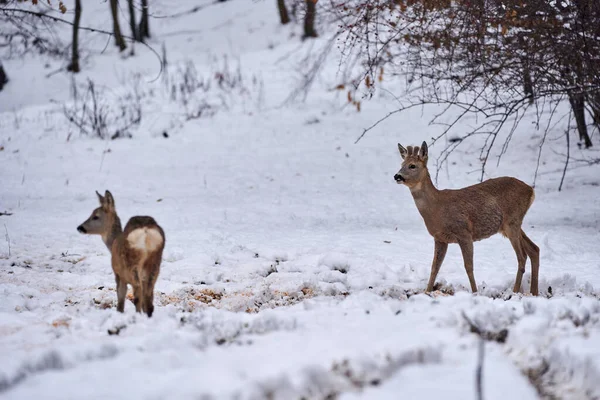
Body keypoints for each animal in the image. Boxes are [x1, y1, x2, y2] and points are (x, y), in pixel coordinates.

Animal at [394, 142, 540, 296]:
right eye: (401, 164)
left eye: (412, 166)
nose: (397, 176)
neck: (437, 208)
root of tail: (531, 190)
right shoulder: (440, 238)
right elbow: (435, 267)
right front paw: (427, 292)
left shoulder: (464, 232)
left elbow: (468, 266)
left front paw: (475, 292)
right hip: (510, 225)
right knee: (534, 249)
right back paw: (534, 292)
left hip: (512, 221)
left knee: (522, 257)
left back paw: (515, 291)